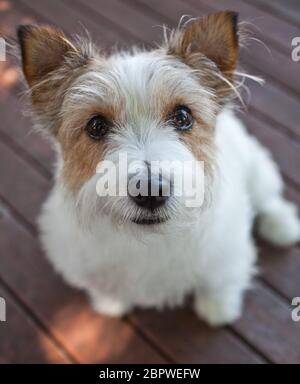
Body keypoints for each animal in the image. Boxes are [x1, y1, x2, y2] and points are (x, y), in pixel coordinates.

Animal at [17, 11, 298, 324]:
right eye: (96, 126)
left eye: (183, 116)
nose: (150, 191)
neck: (149, 241)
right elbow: (105, 288)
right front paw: (110, 304)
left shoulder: (228, 252)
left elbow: (219, 282)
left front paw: (218, 310)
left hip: (257, 168)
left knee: (268, 200)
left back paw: (282, 225)